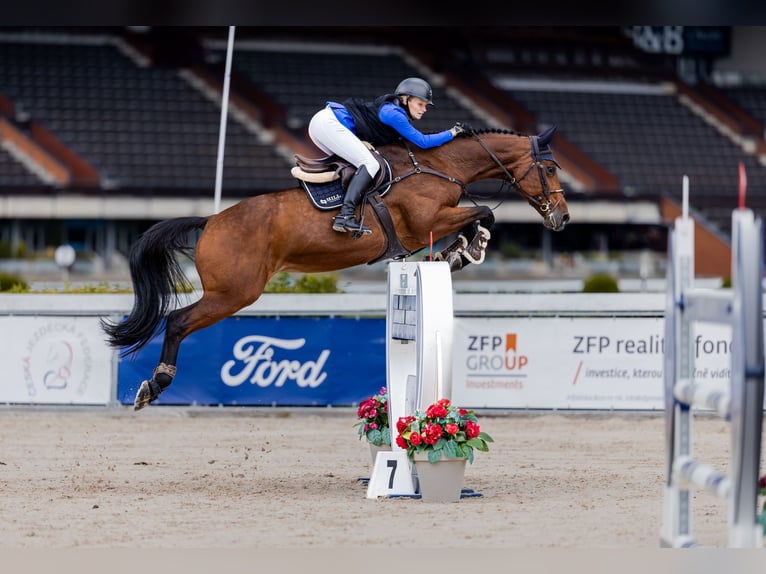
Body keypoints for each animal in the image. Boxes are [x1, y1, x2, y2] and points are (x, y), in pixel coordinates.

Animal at [101, 125, 570, 410]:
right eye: (548, 168)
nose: (562, 218)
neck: (441, 167)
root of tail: (212, 220)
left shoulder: (434, 224)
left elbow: (475, 218)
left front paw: (458, 251)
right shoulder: (428, 220)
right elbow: (482, 214)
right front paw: (465, 250)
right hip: (234, 292)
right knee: (178, 321)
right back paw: (154, 384)